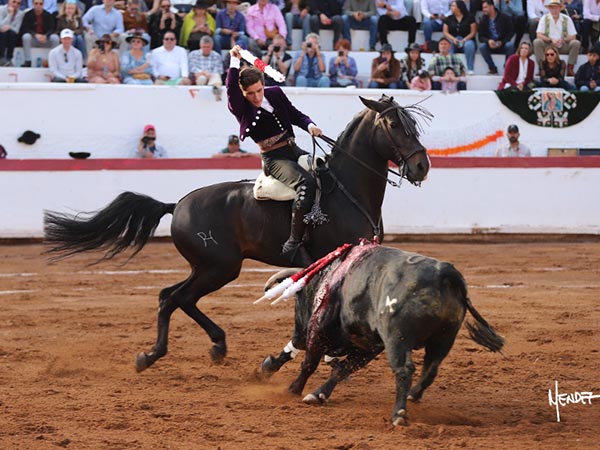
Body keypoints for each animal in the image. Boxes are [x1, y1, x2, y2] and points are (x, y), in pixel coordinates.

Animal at [44, 95, 434, 372]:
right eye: (394, 125)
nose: (421, 166)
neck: (345, 190)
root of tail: (177, 204)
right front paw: (280, 360)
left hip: (207, 267)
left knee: (171, 296)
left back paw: (208, 345)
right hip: (220, 268)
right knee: (176, 299)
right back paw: (157, 354)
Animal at [260, 244, 504, 424]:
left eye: (298, 301)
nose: (297, 338)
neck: (328, 278)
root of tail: (445, 274)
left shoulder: (319, 329)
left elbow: (309, 364)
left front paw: (294, 389)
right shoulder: (370, 345)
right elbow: (343, 368)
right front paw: (319, 394)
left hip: (398, 338)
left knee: (404, 369)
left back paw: (399, 414)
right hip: (444, 338)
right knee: (431, 369)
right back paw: (412, 395)